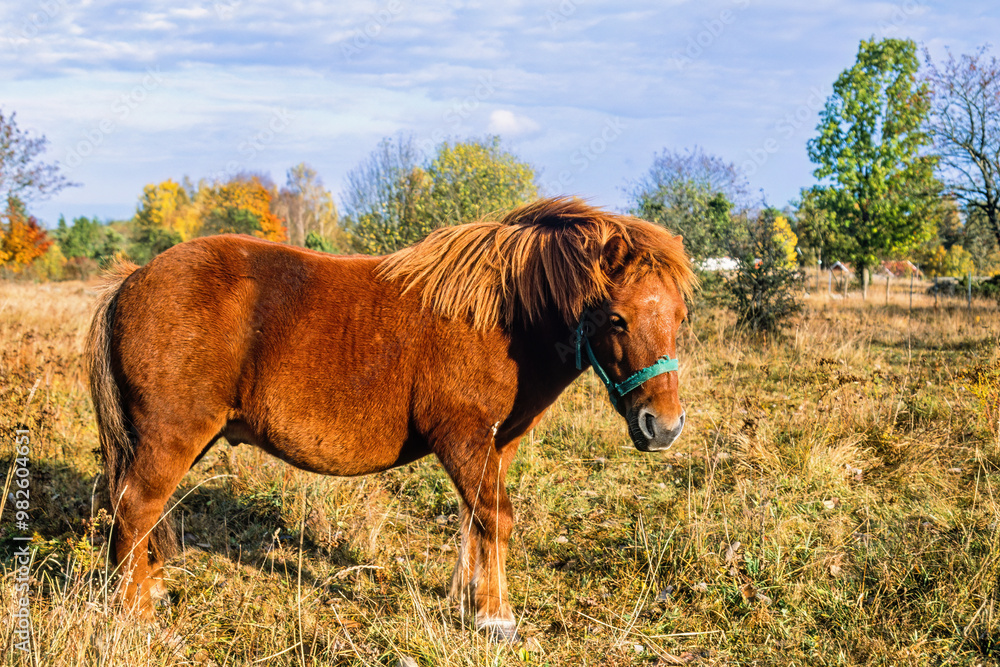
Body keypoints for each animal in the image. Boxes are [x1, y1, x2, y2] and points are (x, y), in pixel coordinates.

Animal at [85, 197, 695, 641]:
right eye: (616, 318)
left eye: (680, 315)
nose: (662, 426)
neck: (500, 319)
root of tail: (133, 279)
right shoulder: (463, 438)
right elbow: (496, 519)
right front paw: (495, 617)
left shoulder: (496, 445)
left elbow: (474, 521)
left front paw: (466, 597)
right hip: (171, 436)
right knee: (136, 507)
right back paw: (135, 613)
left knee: (142, 511)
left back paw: (149, 588)